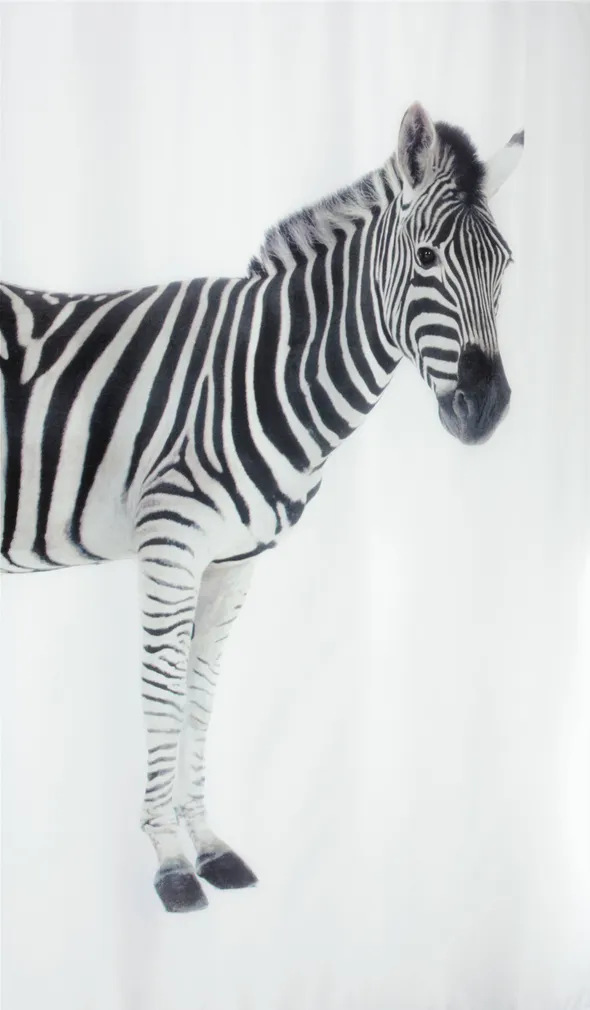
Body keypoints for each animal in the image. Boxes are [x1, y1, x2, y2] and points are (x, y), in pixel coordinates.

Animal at [0, 103, 524, 913]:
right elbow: (160, 694)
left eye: (505, 266)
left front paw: (209, 846)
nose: (486, 407)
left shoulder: (234, 559)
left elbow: (199, 694)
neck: (259, 372)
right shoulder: (171, 544)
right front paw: (169, 863)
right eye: (428, 259)